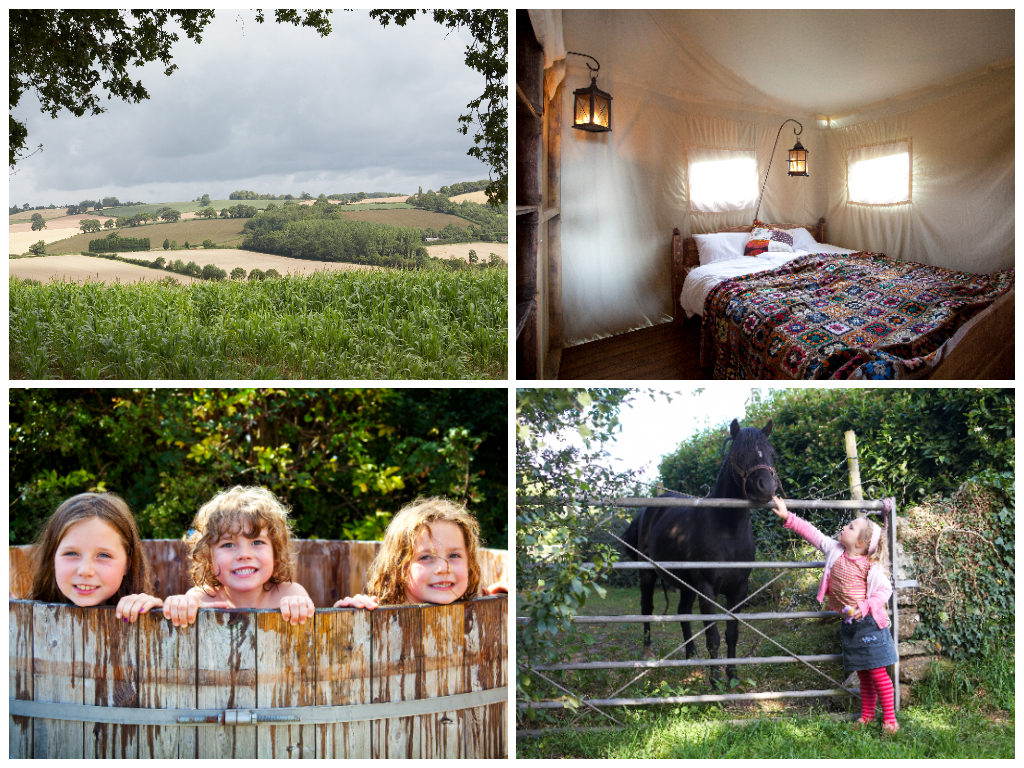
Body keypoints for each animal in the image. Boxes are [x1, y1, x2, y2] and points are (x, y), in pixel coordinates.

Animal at [618, 421, 778, 684]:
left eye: (771, 453)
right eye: (738, 454)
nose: (767, 488)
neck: (727, 529)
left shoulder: (739, 589)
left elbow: (732, 633)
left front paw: (732, 674)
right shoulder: (707, 589)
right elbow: (713, 636)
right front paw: (715, 680)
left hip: (685, 584)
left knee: (682, 612)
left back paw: (691, 656)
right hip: (648, 574)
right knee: (647, 609)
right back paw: (648, 653)